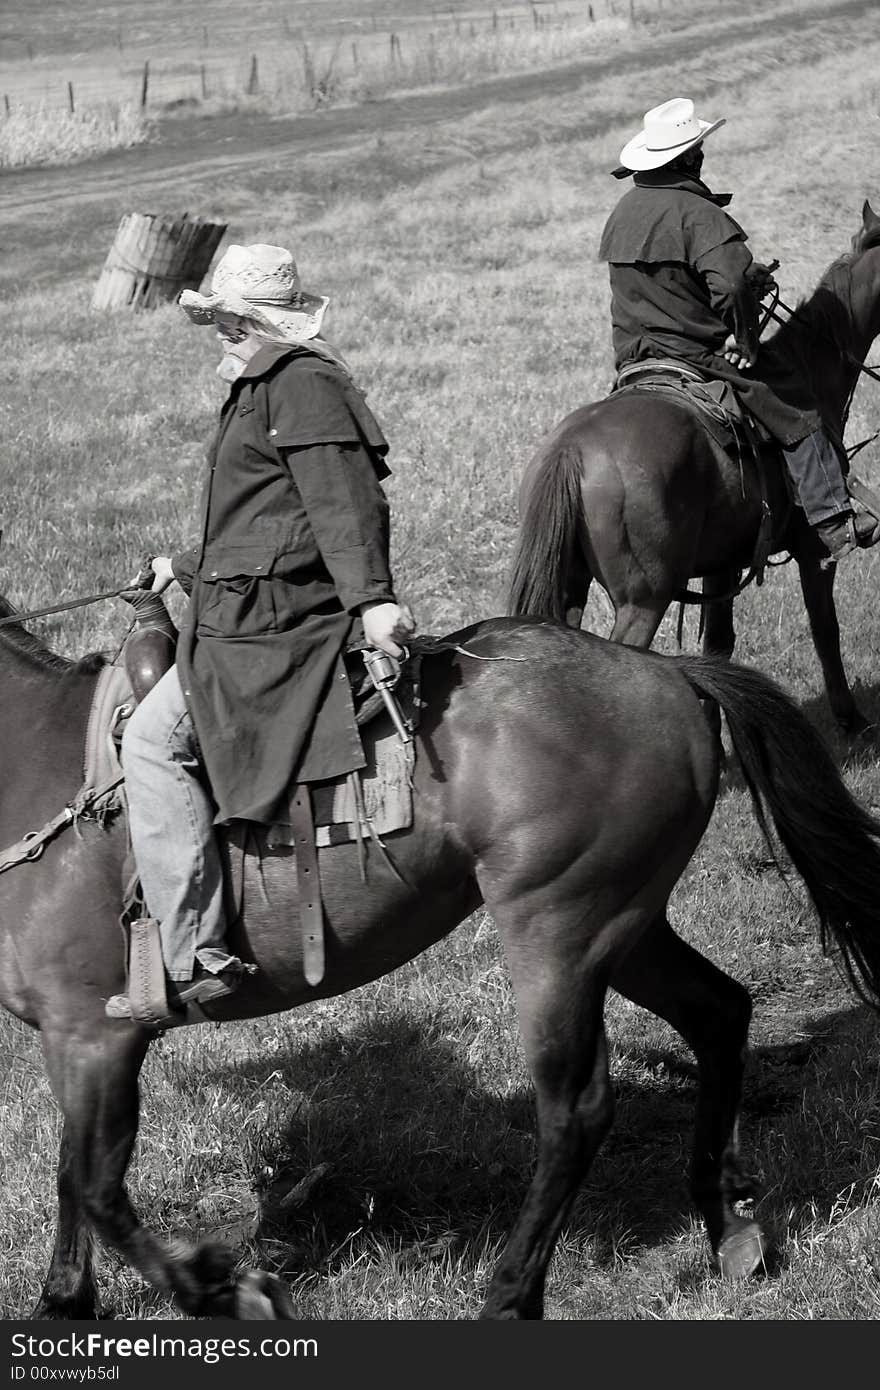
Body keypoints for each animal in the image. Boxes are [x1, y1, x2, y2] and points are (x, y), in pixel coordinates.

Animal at [1, 592, 878, 1317]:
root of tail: (665, 670)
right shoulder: (71, 1041)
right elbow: (73, 1172)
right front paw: (63, 1303)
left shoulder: (96, 1033)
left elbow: (97, 1185)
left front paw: (226, 1291)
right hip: (628, 927)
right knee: (721, 1012)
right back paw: (727, 1222)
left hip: (558, 932)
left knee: (577, 1111)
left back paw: (511, 1294)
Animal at [503, 201, 878, 739]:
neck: (812, 367)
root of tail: (570, 451)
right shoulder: (815, 551)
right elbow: (826, 629)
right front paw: (851, 719)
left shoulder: (724, 565)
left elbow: (718, 645)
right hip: (643, 600)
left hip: (572, 587)